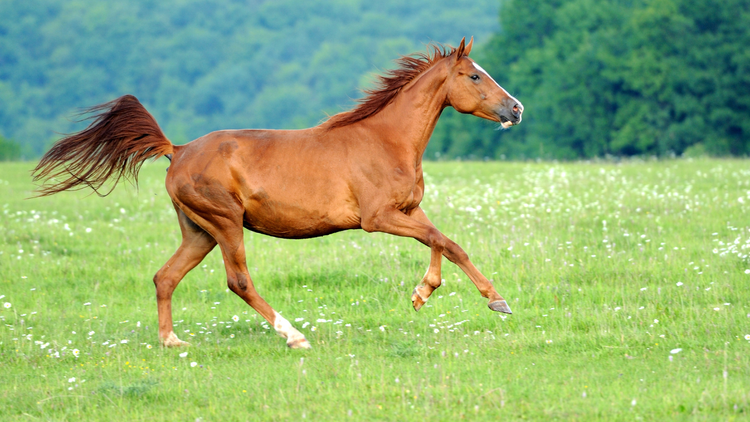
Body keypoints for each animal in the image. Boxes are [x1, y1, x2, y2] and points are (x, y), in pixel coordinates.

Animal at [33, 37, 523, 349]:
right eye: (474, 76)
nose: (516, 109)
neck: (385, 139)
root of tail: (178, 150)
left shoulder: (409, 210)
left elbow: (448, 243)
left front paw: (435, 294)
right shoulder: (378, 218)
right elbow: (442, 240)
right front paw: (492, 300)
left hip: (199, 231)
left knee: (165, 277)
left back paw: (171, 341)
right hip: (226, 223)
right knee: (238, 281)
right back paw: (294, 335)